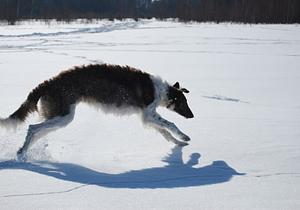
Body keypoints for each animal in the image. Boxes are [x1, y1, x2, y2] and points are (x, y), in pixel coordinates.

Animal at [0, 63, 195, 159]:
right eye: (184, 103)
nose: (192, 116)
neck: (161, 90)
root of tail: (48, 83)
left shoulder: (147, 118)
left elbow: (165, 132)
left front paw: (179, 143)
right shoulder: (150, 113)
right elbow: (171, 124)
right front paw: (185, 137)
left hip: (56, 117)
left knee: (36, 132)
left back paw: (22, 152)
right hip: (63, 116)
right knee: (32, 128)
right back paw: (22, 154)